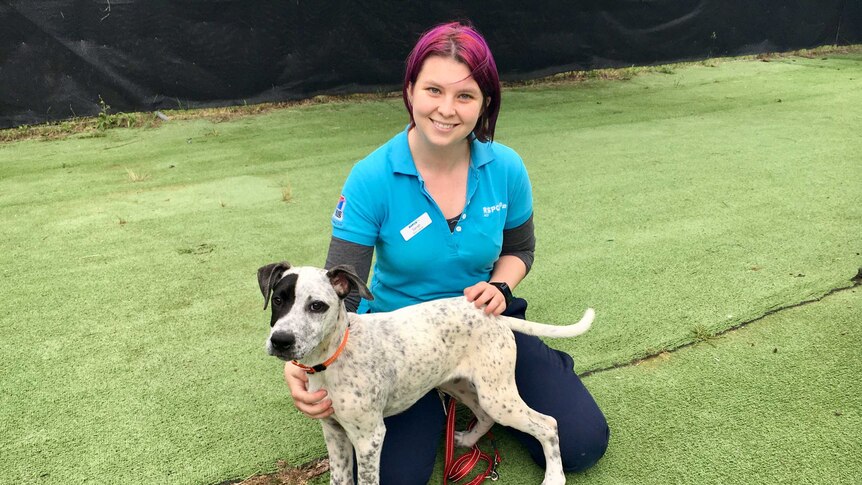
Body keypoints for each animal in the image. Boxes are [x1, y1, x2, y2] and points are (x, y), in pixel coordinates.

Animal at [258, 262, 592, 484]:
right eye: (278, 300)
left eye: (317, 306)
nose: (281, 341)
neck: (333, 356)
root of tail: (494, 314)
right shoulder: (334, 431)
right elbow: (340, 479)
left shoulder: (369, 438)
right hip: (463, 385)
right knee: (485, 416)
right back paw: (468, 441)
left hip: (498, 395)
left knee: (548, 424)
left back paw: (554, 477)